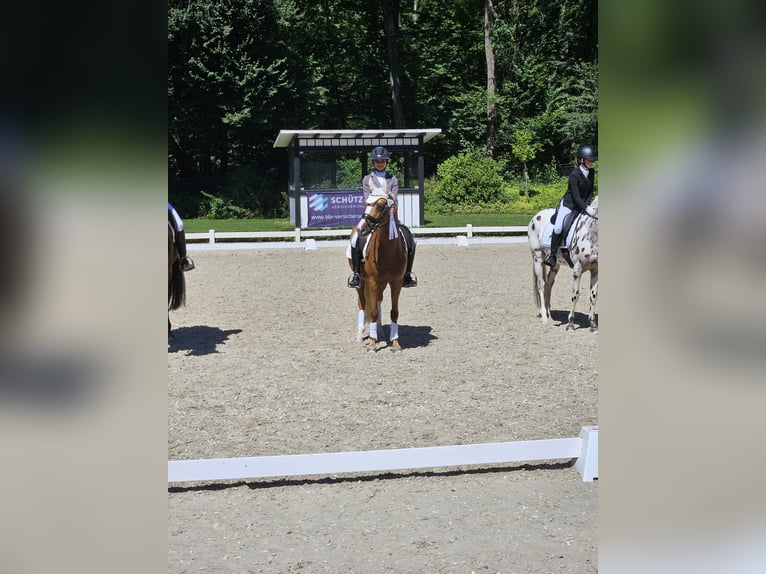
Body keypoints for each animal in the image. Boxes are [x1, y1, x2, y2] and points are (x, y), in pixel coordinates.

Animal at [352, 196, 412, 354]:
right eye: (366, 204)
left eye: (379, 206)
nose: (361, 229)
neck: (388, 250)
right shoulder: (373, 282)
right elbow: (372, 312)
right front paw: (372, 345)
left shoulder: (396, 283)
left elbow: (394, 312)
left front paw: (395, 344)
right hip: (362, 283)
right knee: (362, 303)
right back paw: (360, 335)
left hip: (383, 284)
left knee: (378, 301)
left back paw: (379, 331)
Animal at [528, 197, 600, 332]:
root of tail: (537, 216)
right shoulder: (578, 268)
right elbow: (575, 294)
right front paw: (570, 324)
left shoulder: (596, 270)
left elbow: (593, 296)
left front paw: (593, 324)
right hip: (537, 257)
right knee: (541, 285)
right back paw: (544, 317)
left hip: (555, 264)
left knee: (549, 284)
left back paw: (549, 315)